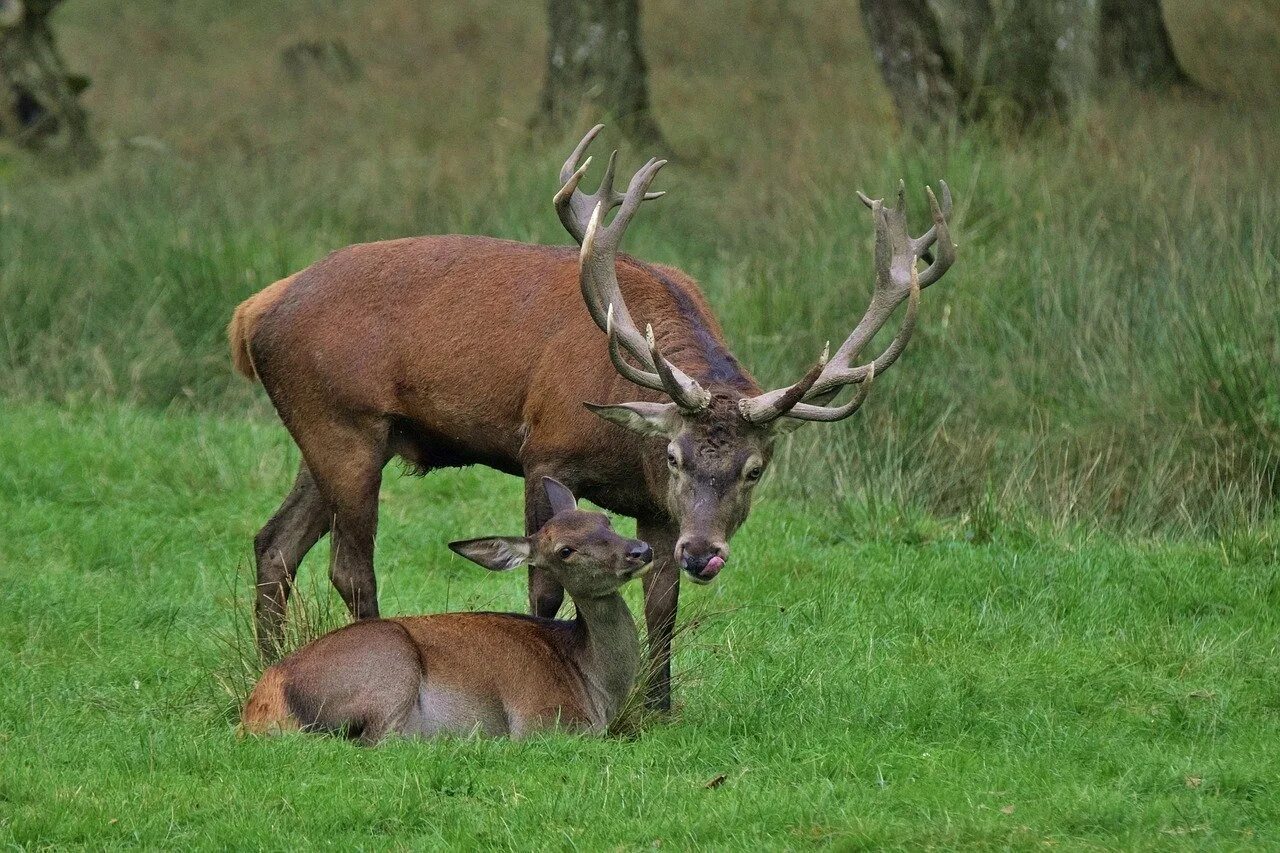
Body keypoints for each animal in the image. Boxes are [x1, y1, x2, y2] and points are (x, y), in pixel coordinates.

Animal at [230, 122, 957, 706]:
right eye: (674, 455)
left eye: (754, 469)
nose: (705, 552)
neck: (626, 446)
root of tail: (254, 310)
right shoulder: (544, 451)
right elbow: (542, 582)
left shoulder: (657, 510)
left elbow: (662, 601)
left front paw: (657, 704)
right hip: (344, 422)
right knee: (349, 565)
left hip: (337, 436)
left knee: (275, 542)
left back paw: (271, 663)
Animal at [240, 473, 650, 742]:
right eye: (565, 550)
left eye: (605, 519)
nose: (640, 550)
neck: (594, 687)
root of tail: (262, 705)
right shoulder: (543, 720)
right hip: (390, 668)